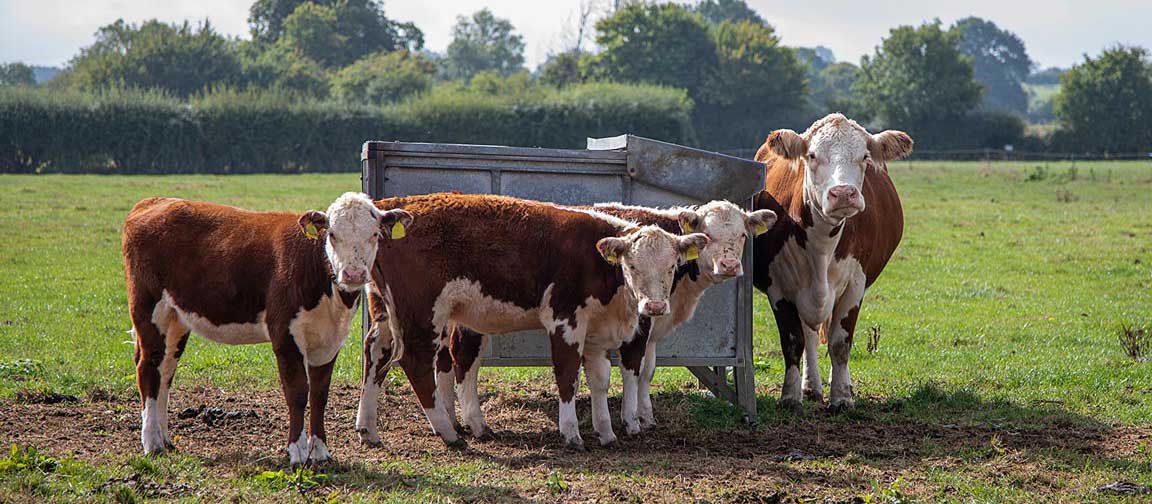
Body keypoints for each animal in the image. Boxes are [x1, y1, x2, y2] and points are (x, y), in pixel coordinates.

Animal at [120, 193, 410, 464]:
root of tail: (154, 201)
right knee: (148, 367)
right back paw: (152, 443)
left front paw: (320, 452)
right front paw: (297, 452)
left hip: (176, 318)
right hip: (148, 307)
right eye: (332, 235)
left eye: (374, 235)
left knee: (166, 369)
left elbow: (319, 395)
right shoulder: (284, 335)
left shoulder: (329, 339)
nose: (353, 274)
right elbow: (297, 392)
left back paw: (164, 438)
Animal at [352, 192, 709, 448]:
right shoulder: (565, 320)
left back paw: (368, 428)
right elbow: (568, 375)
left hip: (387, 312)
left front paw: (606, 433)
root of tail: (389, 207)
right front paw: (572, 434)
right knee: (416, 362)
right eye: (631, 266)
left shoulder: (596, 333)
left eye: (672, 266)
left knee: (376, 353)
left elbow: (599, 380)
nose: (655, 306)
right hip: (422, 313)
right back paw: (449, 434)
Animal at [405, 201, 774, 441]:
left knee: (445, 362)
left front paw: (645, 416)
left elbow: (647, 371)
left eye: (743, 235)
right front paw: (631, 420)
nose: (729, 266)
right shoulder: (638, 326)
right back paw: (468, 424)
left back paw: (450, 417)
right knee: (463, 360)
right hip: (469, 321)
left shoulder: (651, 326)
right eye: (707, 234)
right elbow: (633, 370)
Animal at [751, 113, 912, 414]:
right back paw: (810, 386)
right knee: (809, 335)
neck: (821, 245)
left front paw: (841, 397)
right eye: (812, 155)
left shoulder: (855, 285)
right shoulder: (779, 287)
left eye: (864, 156)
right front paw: (790, 396)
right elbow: (793, 341)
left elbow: (840, 343)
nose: (844, 193)